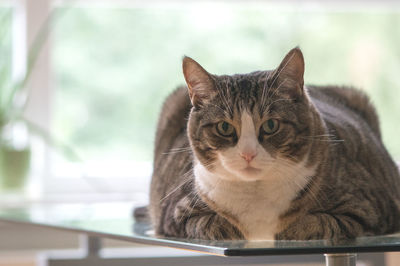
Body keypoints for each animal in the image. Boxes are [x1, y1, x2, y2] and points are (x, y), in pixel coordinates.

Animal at [148, 47, 400, 241]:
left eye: (270, 125)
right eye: (224, 127)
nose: (248, 154)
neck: (256, 191)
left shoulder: (365, 209)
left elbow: (317, 222)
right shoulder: (175, 214)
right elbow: (210, 224)